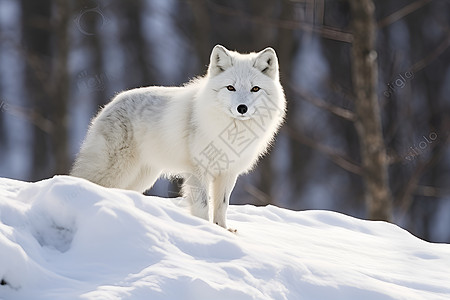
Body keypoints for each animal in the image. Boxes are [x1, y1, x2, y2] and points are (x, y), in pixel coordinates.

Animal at [72, 44, 286, 229]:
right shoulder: (198, 171)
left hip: (143, 177)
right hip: (117, 171)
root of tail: (110, 104)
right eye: (230, 88)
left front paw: (222, 230)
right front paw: (206, 229)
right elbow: (203, 206)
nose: (242, 108)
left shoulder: (228, 172)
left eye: (255, 89)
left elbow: (221, 206)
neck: (231, 131)